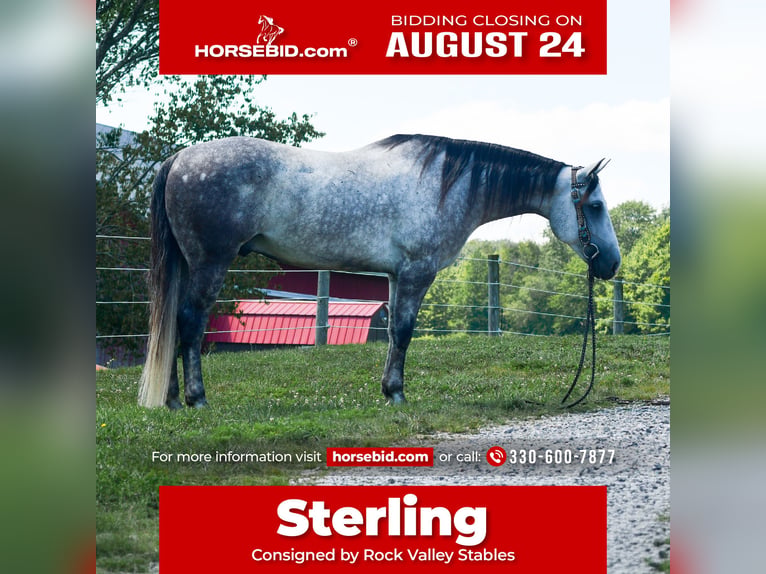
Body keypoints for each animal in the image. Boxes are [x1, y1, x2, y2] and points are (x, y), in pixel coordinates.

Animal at [137, 134, 620, 409]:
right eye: (595, 206)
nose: (611, 263)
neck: (446, 184)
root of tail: (179, 160)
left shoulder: (393, 276)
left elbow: (391, 333)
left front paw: (388, 390)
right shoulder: (416, 273)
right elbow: (403, 332)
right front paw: (396, 394)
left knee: (178, 323)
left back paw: (173, 400)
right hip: (210, 263)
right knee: (190, 323)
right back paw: (196, 400)